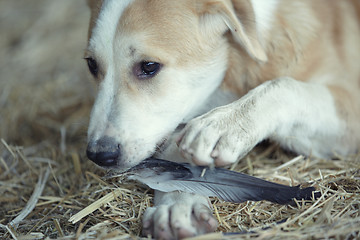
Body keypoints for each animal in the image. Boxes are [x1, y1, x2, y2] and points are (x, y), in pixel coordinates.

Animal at [85, 0, 360, 239]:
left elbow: (283, 85)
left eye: (149, 66)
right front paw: (178, 202)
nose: (99, 155)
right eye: (91, 65)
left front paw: (225, 125)